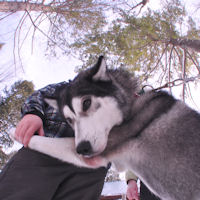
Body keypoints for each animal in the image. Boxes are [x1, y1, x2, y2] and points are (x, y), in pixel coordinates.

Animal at [12, 56, 200, 200]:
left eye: (86, 103)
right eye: (69, 120)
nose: (82, 149)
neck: (129, 106)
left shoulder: (101, 152)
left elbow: (42, 141)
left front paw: (18, 133)